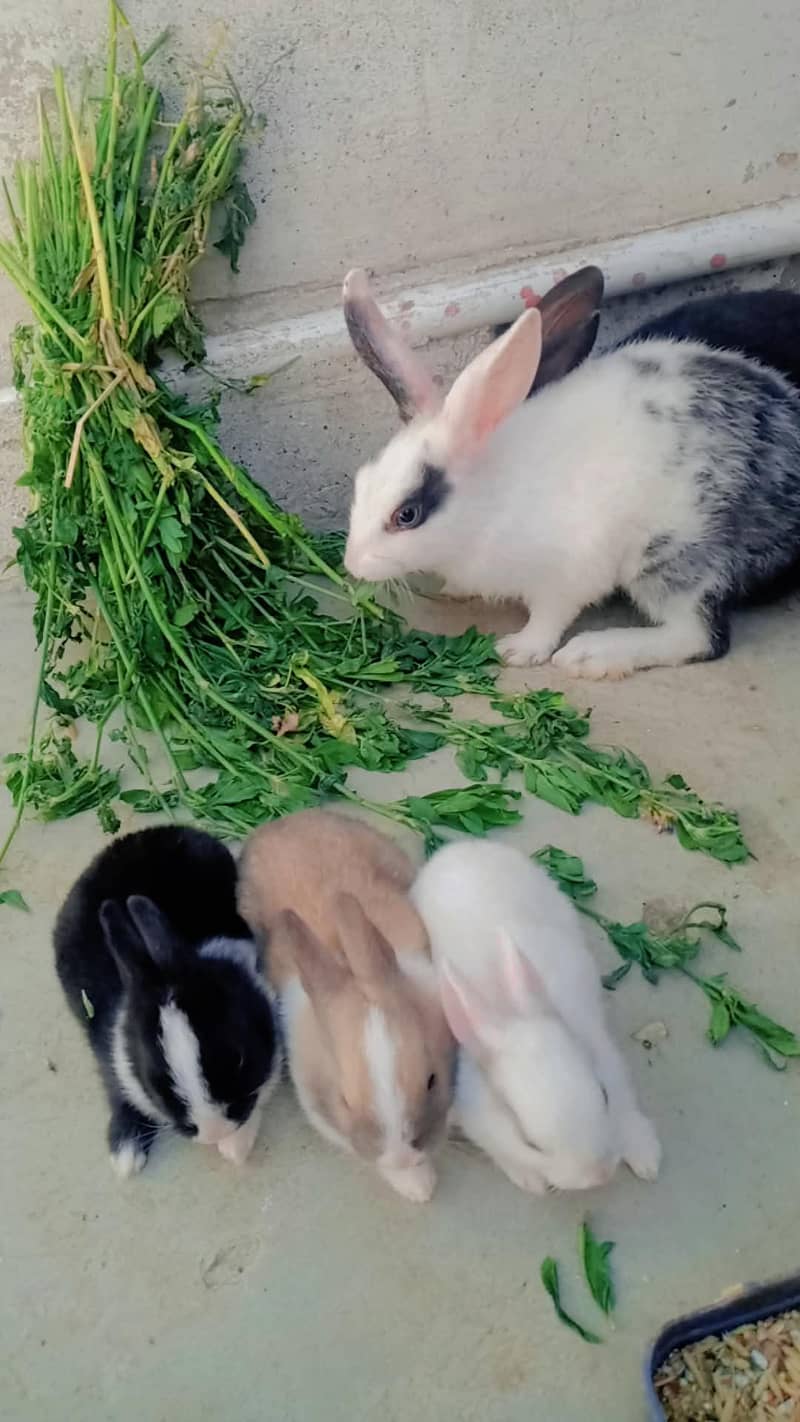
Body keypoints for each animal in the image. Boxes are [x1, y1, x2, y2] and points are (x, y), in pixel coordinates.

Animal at [54, 825, 281, 1178]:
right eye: (155, 1084)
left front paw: (235, 1147)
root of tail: (143, 835)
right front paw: (126, 1156)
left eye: (240, 1059)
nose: (214, 1131)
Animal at [341, 266, 800, 678]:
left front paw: (519, 651)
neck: (490, 503)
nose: (352, 565)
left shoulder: (566, 574)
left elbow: (550, 617)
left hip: (672, 557)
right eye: (361, 482)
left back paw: (593, 655)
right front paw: (455, 590)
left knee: (699, 636)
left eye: (407, 515)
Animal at [410, 839, 661, 1194]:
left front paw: (646, 1158)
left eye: (603, 1095)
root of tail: (461, 848)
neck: (510, 1012)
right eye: (531, 1144)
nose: (599, 1174)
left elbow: (627, 1108)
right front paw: (530, 1180)